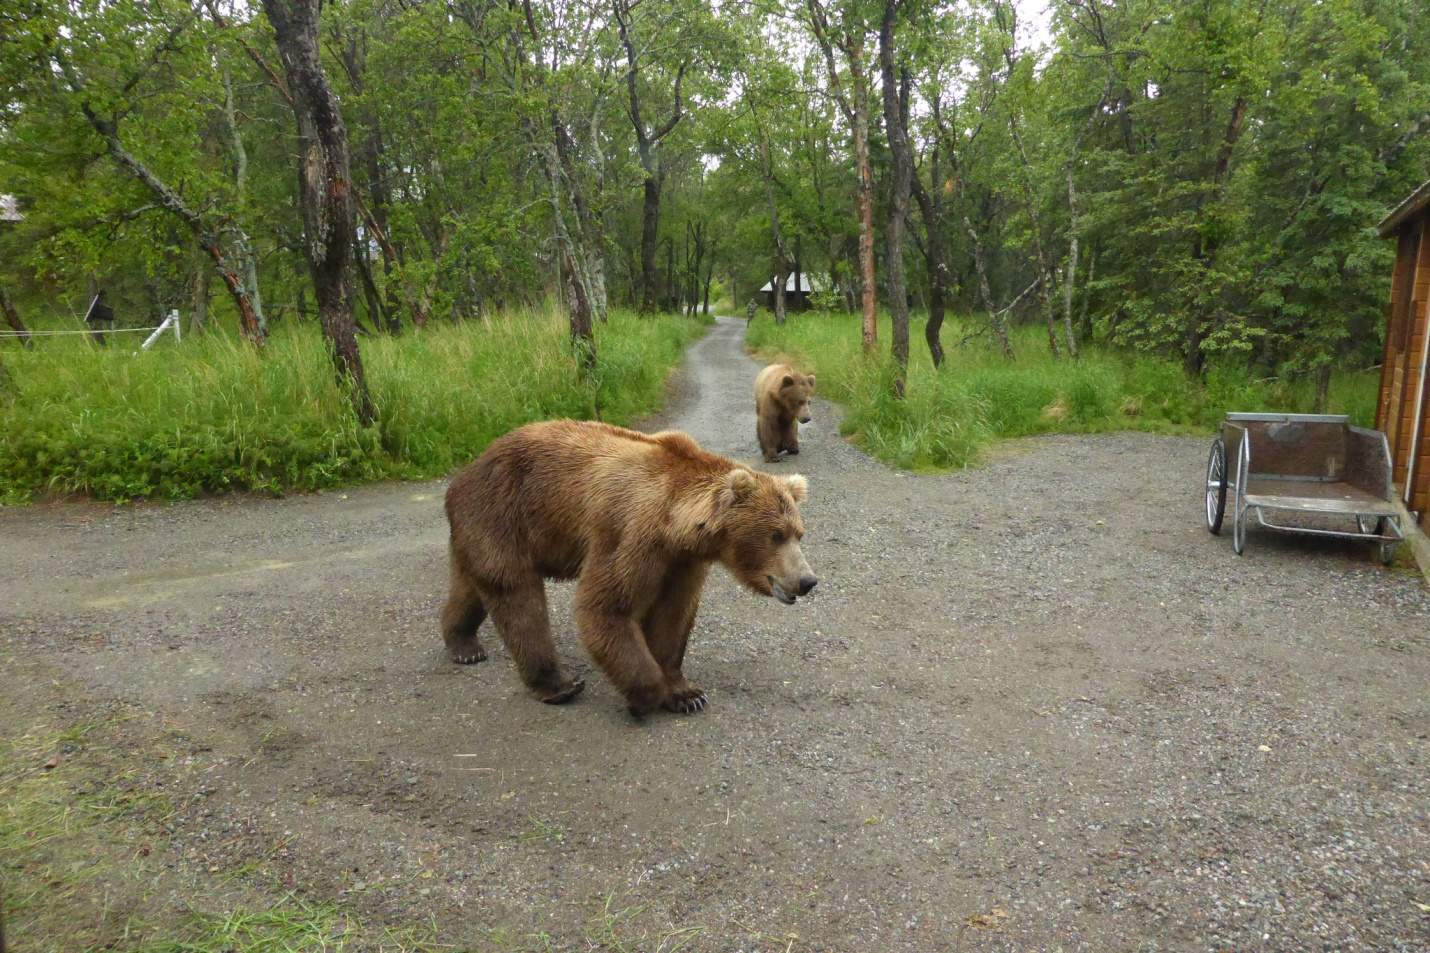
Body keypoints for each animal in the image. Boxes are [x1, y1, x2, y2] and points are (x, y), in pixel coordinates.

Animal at [441, 420, 817, 716]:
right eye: (776, 535)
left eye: (799, 533)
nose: (807, 580)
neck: (676, 524)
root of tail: (461, 476)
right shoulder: (631, 534)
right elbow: (607, 606)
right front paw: (645, 696)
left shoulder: (683, 561)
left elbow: (673, 616)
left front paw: (687, 694)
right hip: (503, 512)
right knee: (517, 596)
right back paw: (559, 684)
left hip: (482, 529)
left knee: (471, 586)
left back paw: (464, 647)